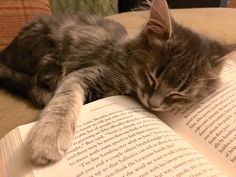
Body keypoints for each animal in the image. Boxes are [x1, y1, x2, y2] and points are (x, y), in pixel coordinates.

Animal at [0, 0, 229, 165]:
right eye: (151, 77)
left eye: (178, 94)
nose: (153, 104)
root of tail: (6, 51)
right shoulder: (86, 73)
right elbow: (64, 102)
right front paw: (49, 138)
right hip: (49, 58)